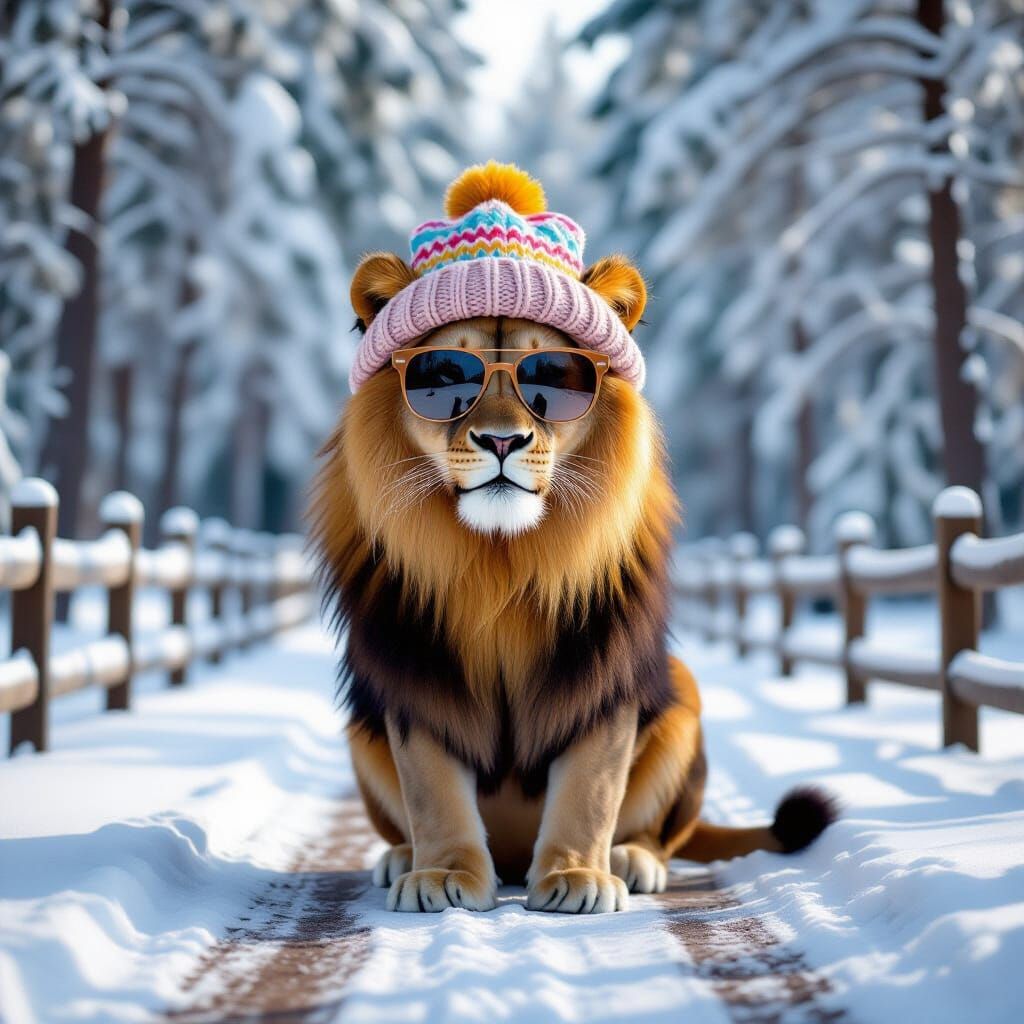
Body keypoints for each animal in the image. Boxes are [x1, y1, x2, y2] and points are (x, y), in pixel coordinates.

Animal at [309, 163, 834, 914]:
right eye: (443, 376)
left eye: (554, 377)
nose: (503, 440)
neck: (499, 557)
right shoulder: (413, 672)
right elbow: (433, 792)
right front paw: (443, 874)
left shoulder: (603, 674)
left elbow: (590, 788)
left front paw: (576, 877)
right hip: (361, 724)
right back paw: (403, 857)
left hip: (683, 693)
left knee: (662, 835)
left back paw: (631, 860)